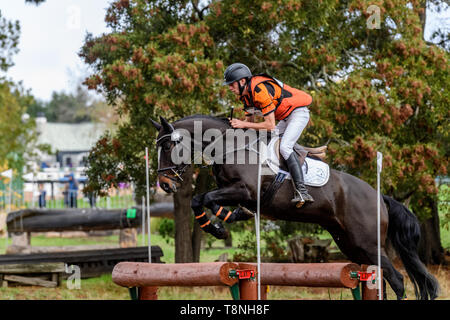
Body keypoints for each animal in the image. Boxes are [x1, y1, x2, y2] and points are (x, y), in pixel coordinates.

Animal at [151, 114, 440, 298]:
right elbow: (202, 200)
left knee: (397, 280)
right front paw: (226, 220)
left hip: (368, 244)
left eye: (167, 146)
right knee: (377, 278)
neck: (231, 147)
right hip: (351, 245)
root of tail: (380, 196)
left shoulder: (244, 190)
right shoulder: (235, 193)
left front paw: (218, 228)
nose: (164, 184)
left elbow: (205, 198)